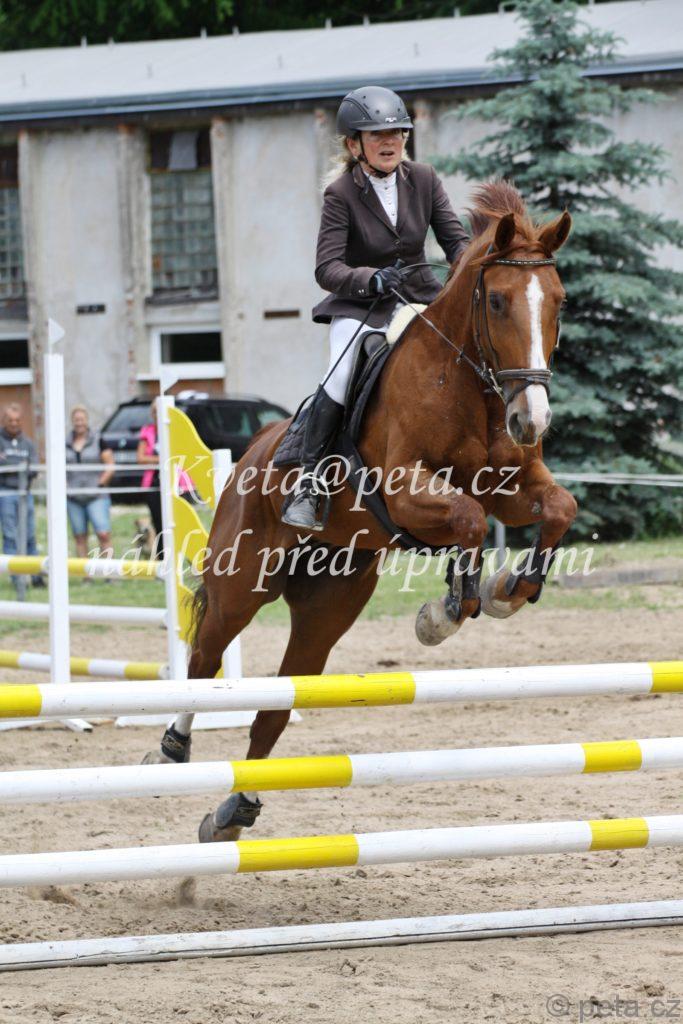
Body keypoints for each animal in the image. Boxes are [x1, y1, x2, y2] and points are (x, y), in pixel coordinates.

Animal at [151, 180, 578, 842]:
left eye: (558, 301)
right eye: (499, 301)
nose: (531, 420)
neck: (466, 384)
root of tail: (254, 449)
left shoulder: (510, 487)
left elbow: (558, 506)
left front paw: (506, 590)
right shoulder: (404, 490)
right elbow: (468, 520)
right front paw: (446, 612)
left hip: (327, 608)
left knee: (275, 709)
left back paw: (233, 812)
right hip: (242, 583)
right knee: (206, 655)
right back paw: (174, 743)